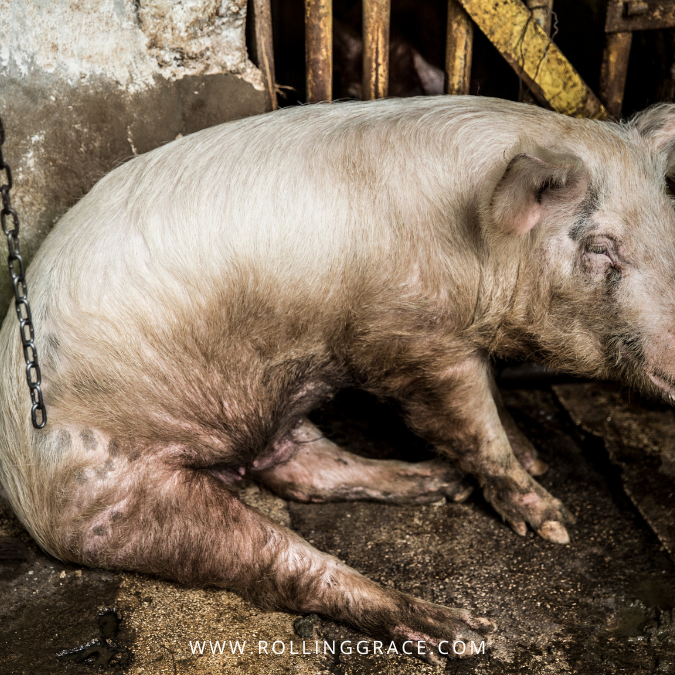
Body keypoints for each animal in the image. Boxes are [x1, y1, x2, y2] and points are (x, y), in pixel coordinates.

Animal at [1, 95, 675, 661]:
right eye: (600, 247)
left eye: (671, 230)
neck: (474, 245)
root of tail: (18, 478)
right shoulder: (412, 339)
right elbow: (470, 424)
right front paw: (557, 524)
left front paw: (532, 460)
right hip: (120, 501)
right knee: (287, 562)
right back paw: (466, 633)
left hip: (278, 413)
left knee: (309, 471)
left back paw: (441, 488)